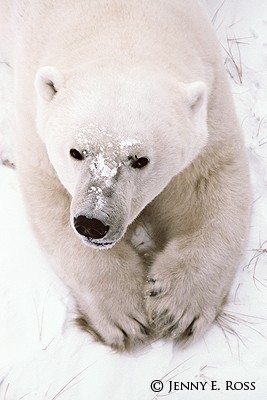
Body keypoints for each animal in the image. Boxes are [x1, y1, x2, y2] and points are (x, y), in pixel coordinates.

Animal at [1, 0, 251, 350]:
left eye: (140, 160)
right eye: (76, 152)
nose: (92, 223)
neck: (117, 21)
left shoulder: (209, 92)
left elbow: (206, 184)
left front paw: (176, 307)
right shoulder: (35, 116)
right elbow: (52, 200)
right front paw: (125, 316)